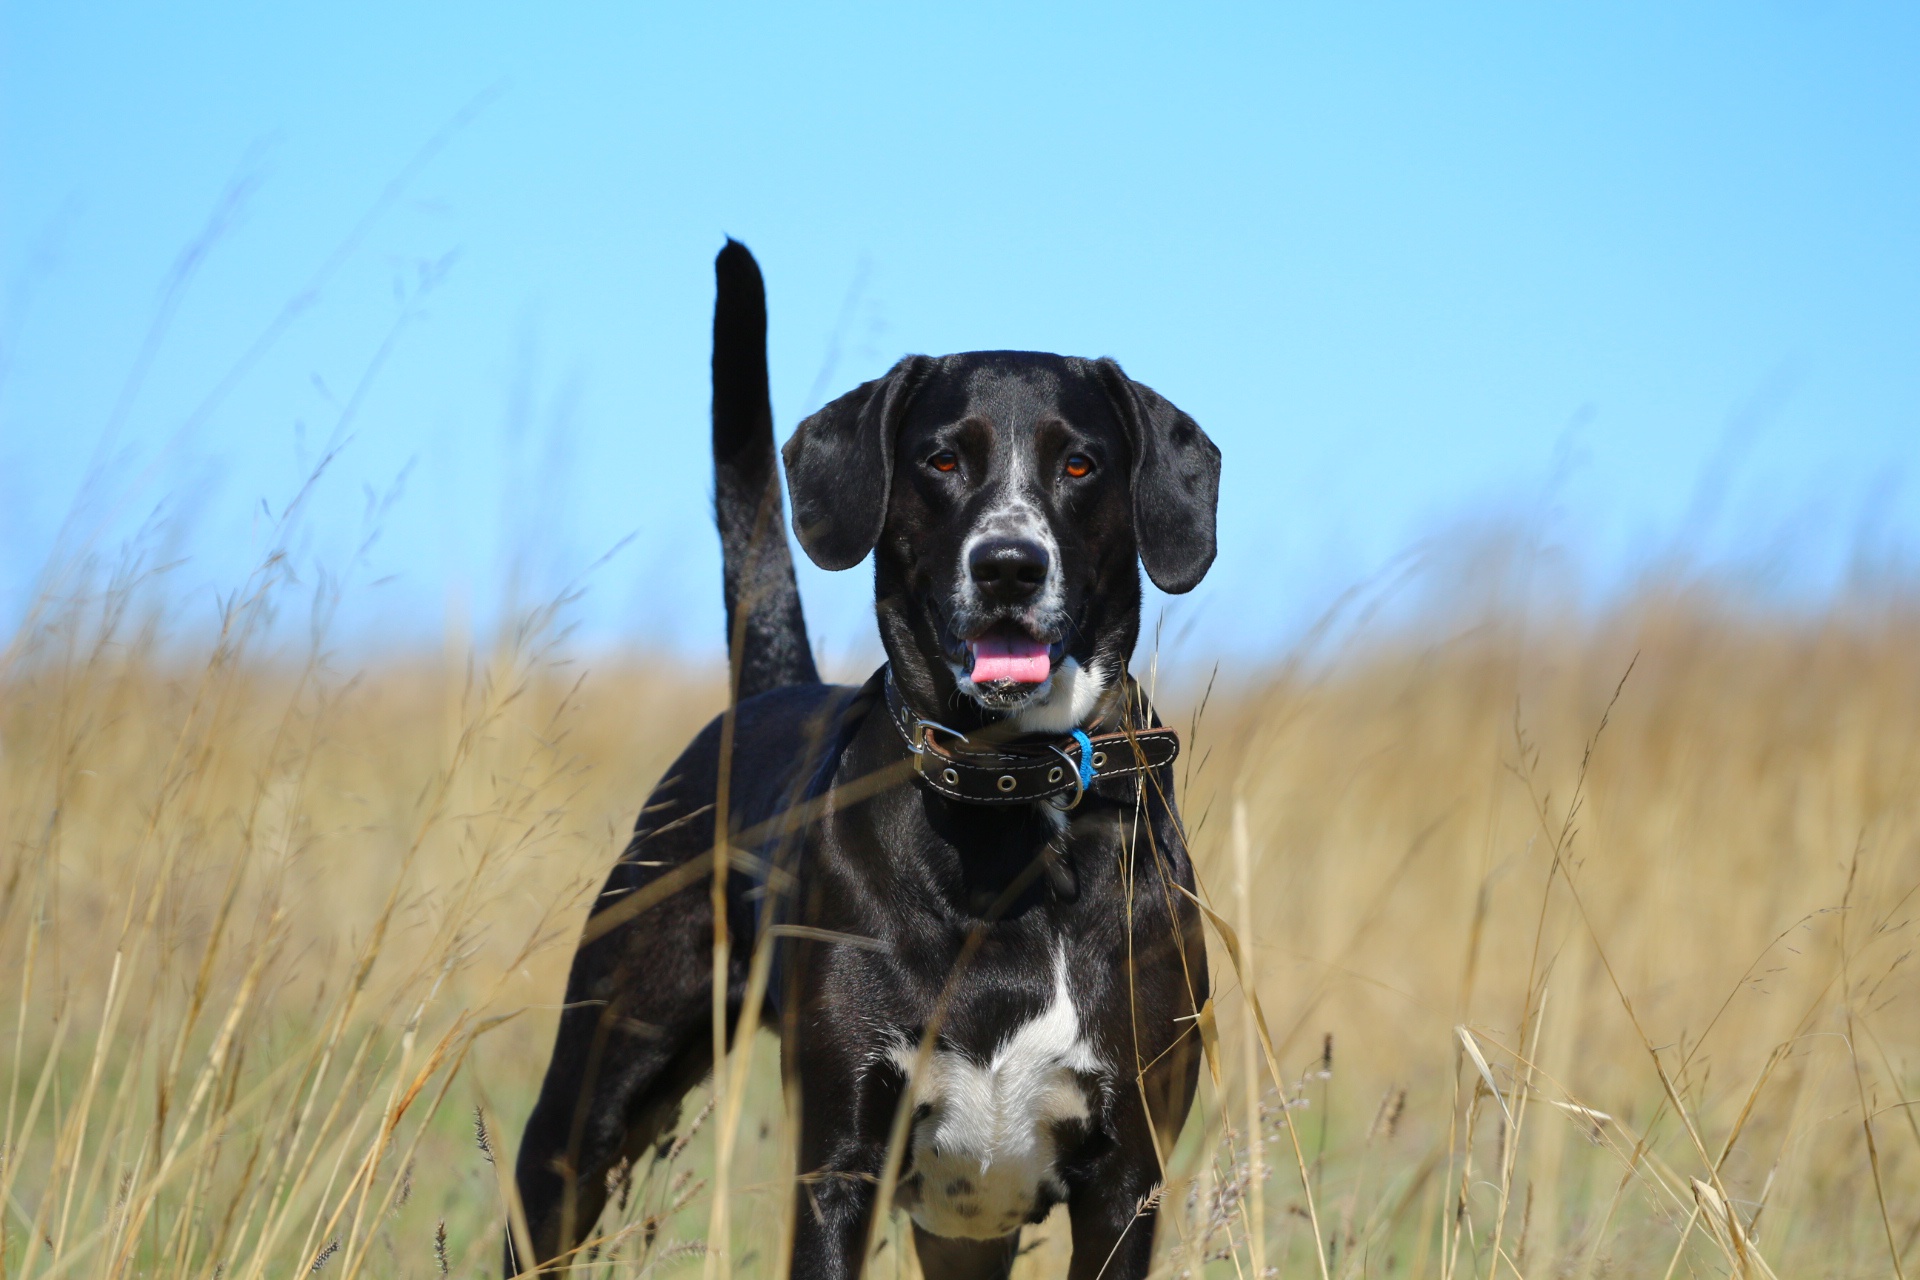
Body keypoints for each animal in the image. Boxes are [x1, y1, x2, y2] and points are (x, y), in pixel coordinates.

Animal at [514, 242, 1213, 1280]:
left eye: (1081, 463)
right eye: (943, 459)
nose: (1009, 565)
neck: (1012, 800)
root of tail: (765, 696)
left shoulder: (1129, 1180)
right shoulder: (840, 1159)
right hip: (591, 1101)